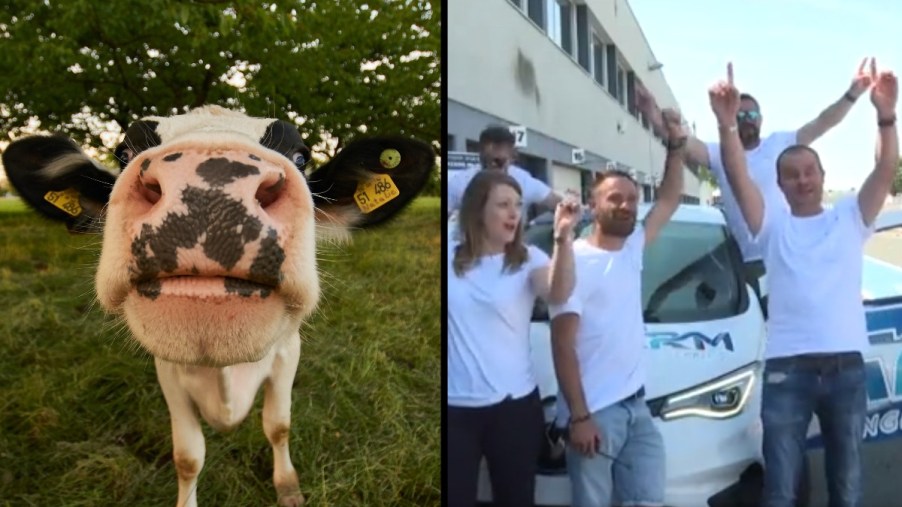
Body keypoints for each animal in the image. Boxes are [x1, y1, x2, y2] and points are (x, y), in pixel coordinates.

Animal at [0, 104, 438, 507]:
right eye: (123, 152)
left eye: (301, 156)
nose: (207, 187)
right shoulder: (168, 371)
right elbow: (188, 457)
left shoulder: (288, 352)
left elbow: (278, 425)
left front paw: (288, 487)